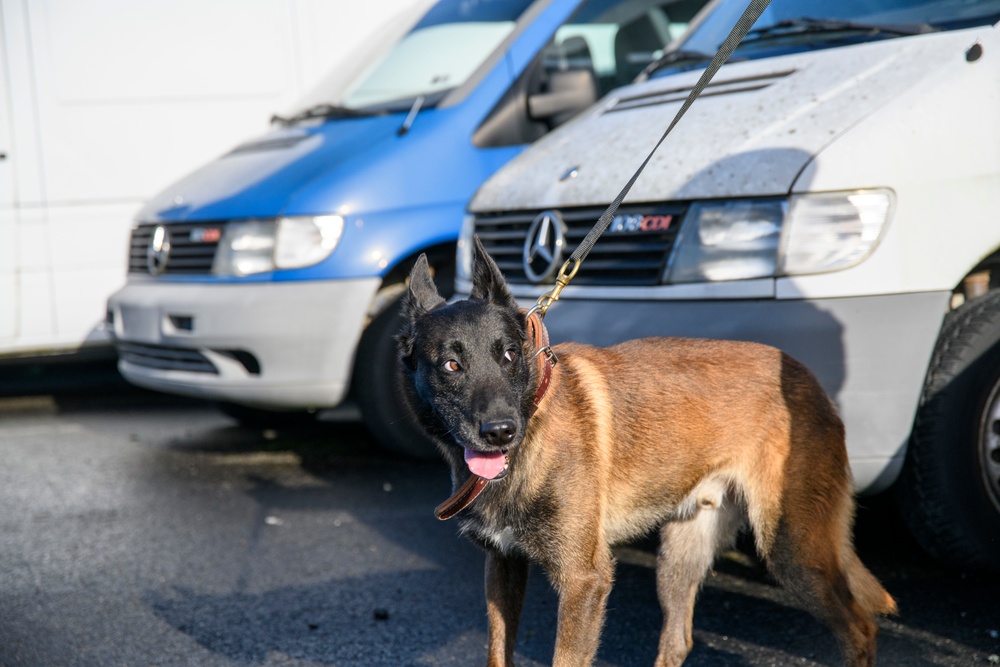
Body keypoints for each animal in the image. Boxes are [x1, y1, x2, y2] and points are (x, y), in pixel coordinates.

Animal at [398, 239, 900, 667]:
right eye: (451, 365)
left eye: (508, 356)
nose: (502, 432)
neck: (533, 419)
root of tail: (809, 378)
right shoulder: (503, 567)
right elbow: (498, 653)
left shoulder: (584, 583)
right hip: (678, 559)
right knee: (678, 641)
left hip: (793, 552)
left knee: (860, 628)